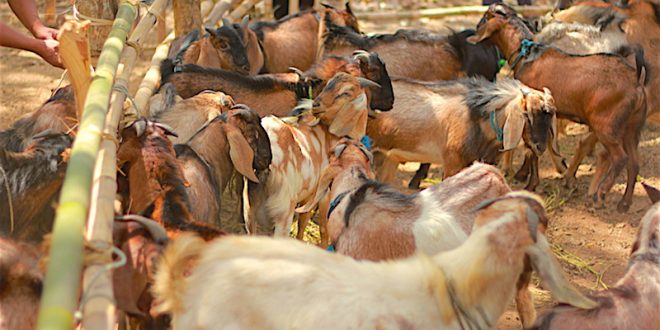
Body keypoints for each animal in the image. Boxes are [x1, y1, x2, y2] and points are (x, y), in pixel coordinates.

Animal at [251, 73, 378, 236]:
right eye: (328, 85)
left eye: (346, 93)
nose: (316, 105)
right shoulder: (323, 194)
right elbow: (319, 226)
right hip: (283, 210)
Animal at [366, 77, 556, 191]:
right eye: (527, 115)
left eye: (550, 115)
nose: (540, 147)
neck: (476, 118)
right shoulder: (453, 163)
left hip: (387, 156)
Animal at [472, 3, 648, 211]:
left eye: (485, 17)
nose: (475, 27)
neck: (527, 55)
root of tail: (635, 82)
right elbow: (539, 145)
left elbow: (533, 149)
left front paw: (529, 182)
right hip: (632, 128)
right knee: (634, 163)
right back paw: (624, 203)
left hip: (607, 127)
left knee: (621, 158)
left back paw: (600, 195)